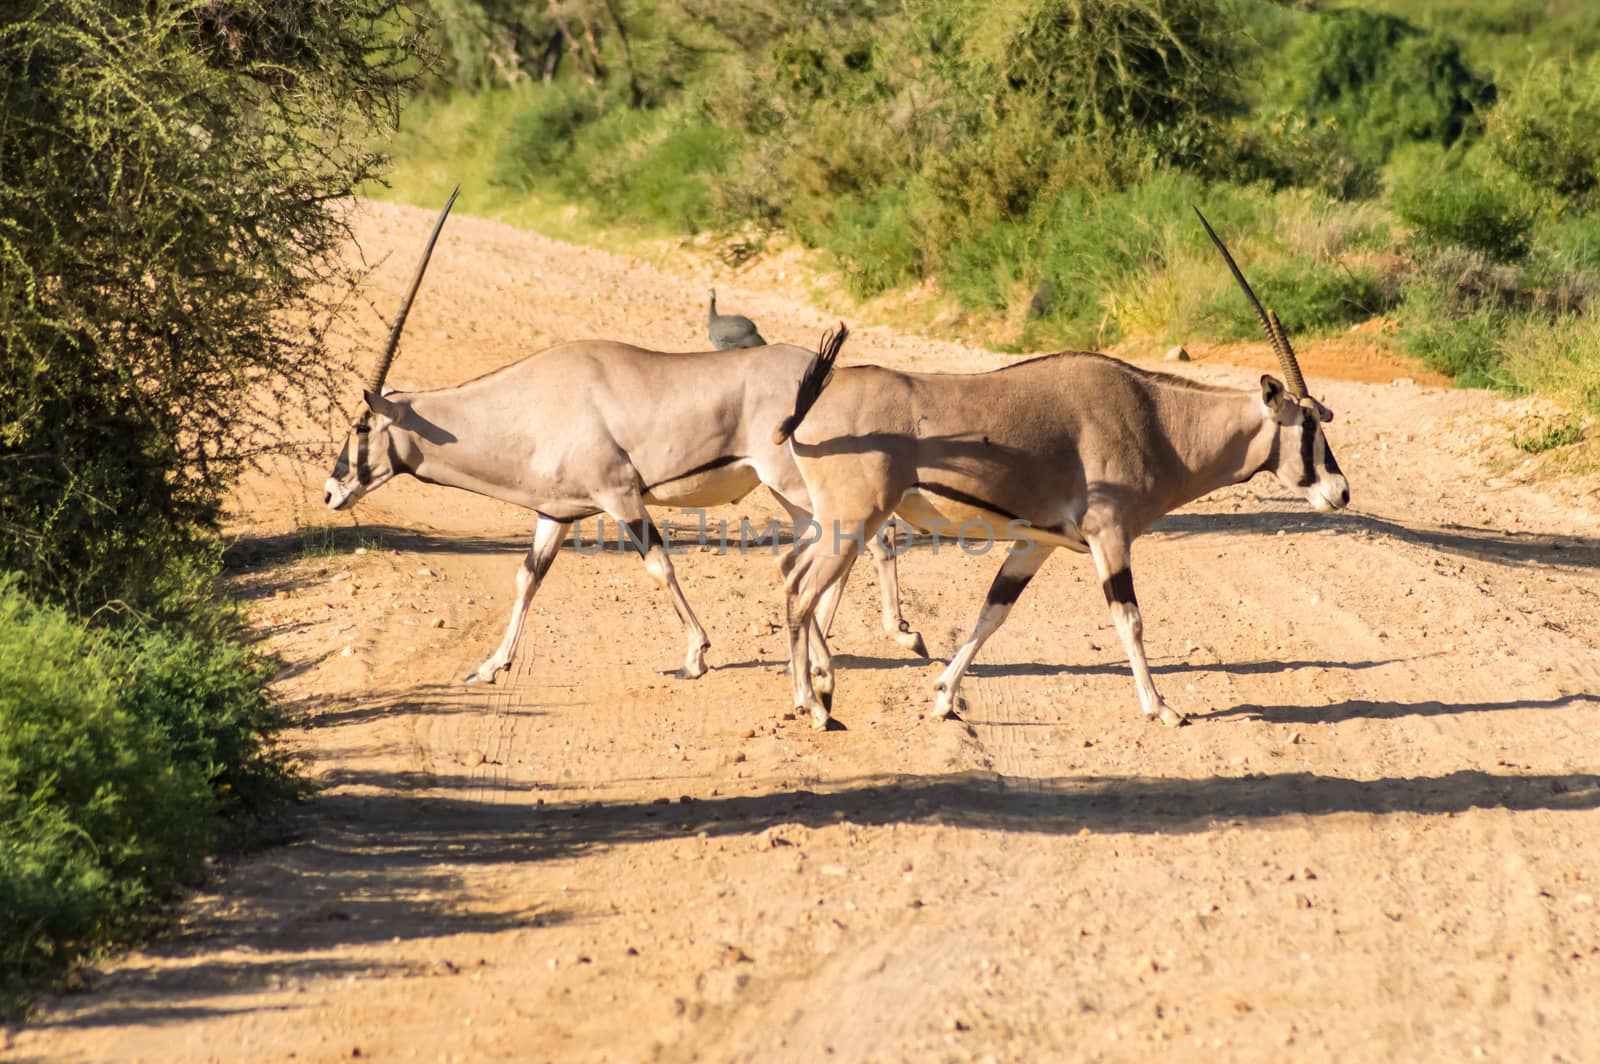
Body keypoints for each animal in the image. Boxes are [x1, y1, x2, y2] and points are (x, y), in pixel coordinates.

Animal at [324, 194, 928, 684]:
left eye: (360, 427)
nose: (331, 492)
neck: (533, 402)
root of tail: (829, 375)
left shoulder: (620, 496)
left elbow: (659, 564)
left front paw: (695, 656)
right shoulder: (556, 514)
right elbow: (527, 578)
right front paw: (492, 665)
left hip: (795, 483)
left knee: (871, 537)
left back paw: (896, 636)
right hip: (789, 491)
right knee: (831, 543)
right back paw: (819, 648)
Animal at [774, 211, 1350, 736]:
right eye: (1307, 424)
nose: (1341, 491)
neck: (1158, 419)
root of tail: (815, 404)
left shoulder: (1036, 543)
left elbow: (992, 613)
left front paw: (943, 697)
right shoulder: (1109, 535)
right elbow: (1129, 619)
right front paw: (1161, 707)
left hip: (837, 522)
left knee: (792, 575)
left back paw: (819, 688)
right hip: (854, 520)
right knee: (802, 591)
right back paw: (815, 705)